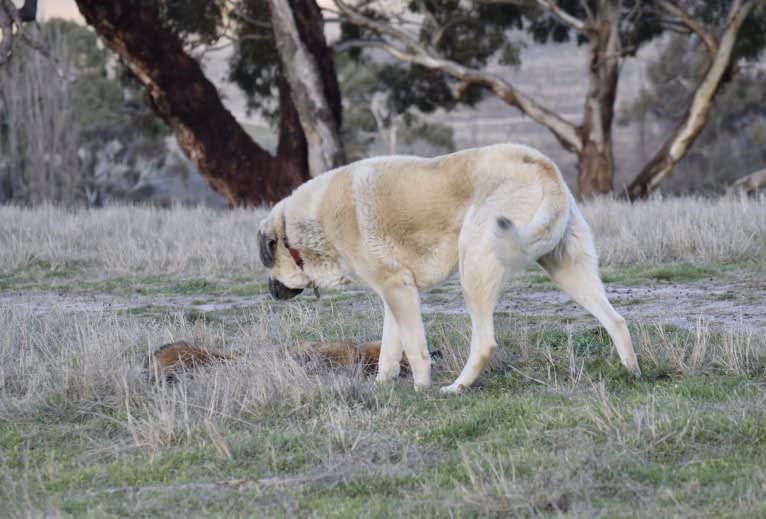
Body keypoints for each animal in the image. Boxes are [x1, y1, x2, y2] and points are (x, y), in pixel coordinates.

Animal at [260, 144, 640, 392]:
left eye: (267, 260)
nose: (270, 293)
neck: (305, 229)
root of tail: (540, 163)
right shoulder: (395, 292)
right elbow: (388, 350)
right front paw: (382, 386)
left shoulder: (398, 291)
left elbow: (414, 349)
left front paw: (420, 389)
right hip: (567, 269)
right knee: (616, 320)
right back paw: (631, 371)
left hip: (474, 268)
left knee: (484, 342)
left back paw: (456, 387)